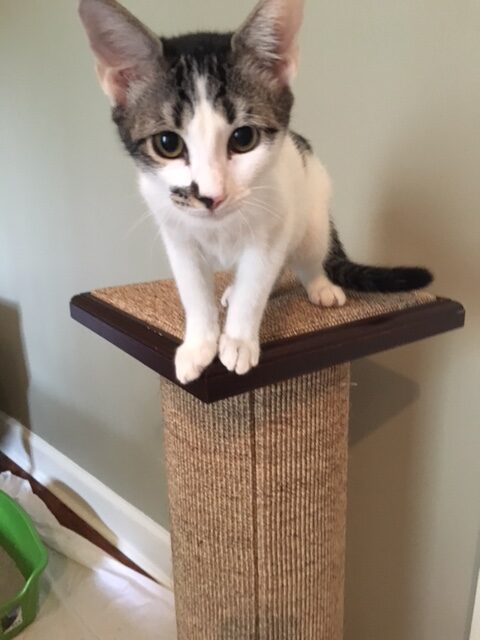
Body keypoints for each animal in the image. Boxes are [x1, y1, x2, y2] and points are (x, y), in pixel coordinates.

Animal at [78, 0, 432, 380]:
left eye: (243, 138)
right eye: (167, 143)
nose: (210, 196)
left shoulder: (271, 229)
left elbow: (255, 285)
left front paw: (237, 340)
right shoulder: (176, 235)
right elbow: (193, 290)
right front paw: (199, 343)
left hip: (311, 213)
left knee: (309, 256)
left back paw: (320, 286)